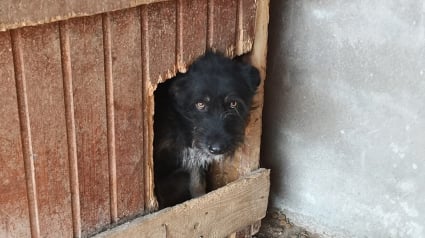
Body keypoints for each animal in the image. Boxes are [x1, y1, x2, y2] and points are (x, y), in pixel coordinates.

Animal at [152, 52, 258, 208]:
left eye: (233, 104)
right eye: (200, 104)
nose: (217, 148)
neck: (182, 126)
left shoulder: (194, 158)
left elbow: (198, 186)